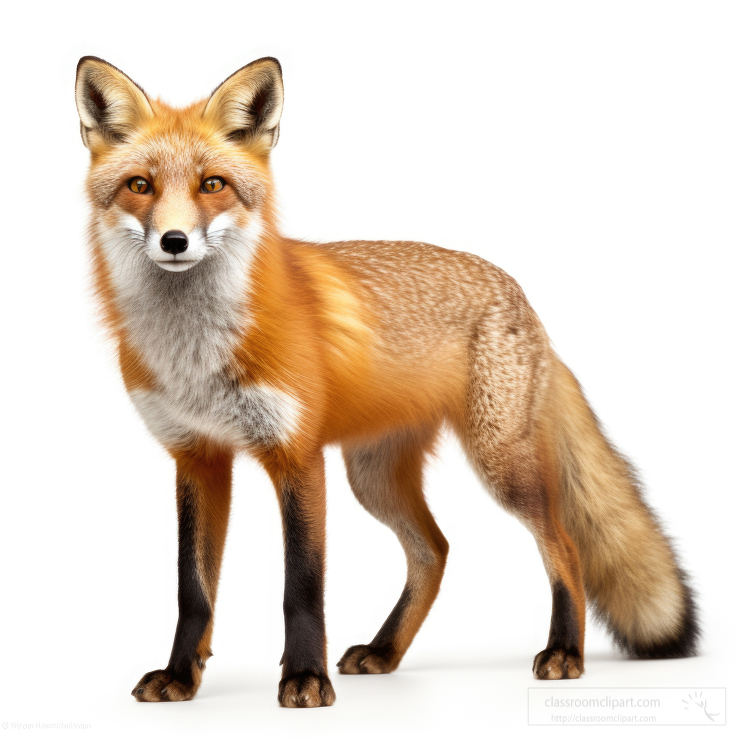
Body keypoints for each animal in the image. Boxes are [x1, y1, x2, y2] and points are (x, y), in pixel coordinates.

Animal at [75, 55, 699, 708]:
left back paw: (564, 652)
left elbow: (302, 586)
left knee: (564, 545)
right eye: (139, 186)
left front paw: (305, 678)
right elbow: (192, 590)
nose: (174, 241)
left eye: (212, 184)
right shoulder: (197, 457)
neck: (194, 357)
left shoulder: (296, 456)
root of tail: (521, 297)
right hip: (374, 477)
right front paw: (180, 676)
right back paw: (385, 650)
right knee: (435, 550)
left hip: (501, 465)